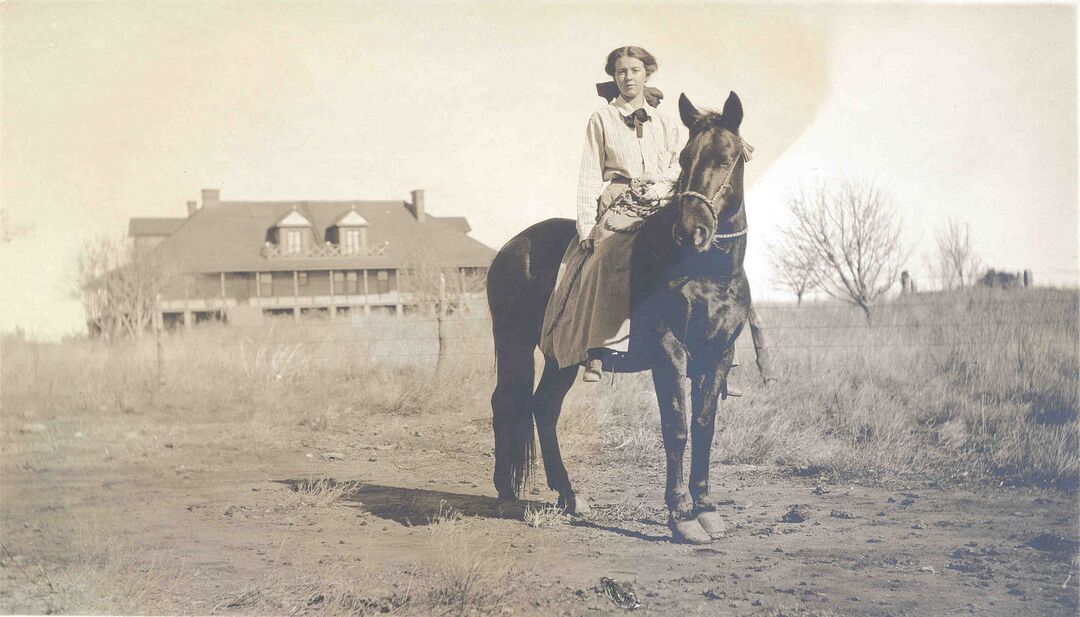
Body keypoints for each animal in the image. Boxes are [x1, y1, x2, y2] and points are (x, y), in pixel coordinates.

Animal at [490, 92, 751, 544]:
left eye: (724, 157)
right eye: (687, 158)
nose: (691, 230)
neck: (708, 273)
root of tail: (509, 247)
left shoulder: (717, 354)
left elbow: (704, 426)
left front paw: (706, 508)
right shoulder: (670, 351)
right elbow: (676, 426)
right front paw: (682, 516)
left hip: (562, 358)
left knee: (544, 406)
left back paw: (569, 495)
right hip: (513, 346)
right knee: (506, 402)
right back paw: (507, 496)